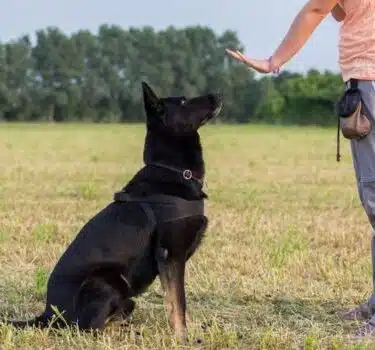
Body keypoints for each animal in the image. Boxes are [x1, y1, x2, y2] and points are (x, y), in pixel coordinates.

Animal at [3, 81, 223, 342]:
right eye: (183, 101)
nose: (218, 94)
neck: (174, 171)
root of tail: (49, 313)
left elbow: (178, 302)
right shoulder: (171, 257)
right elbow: (178, 302)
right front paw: (182, 338)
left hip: (126, 297)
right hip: (106, 281)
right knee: (88, 328)